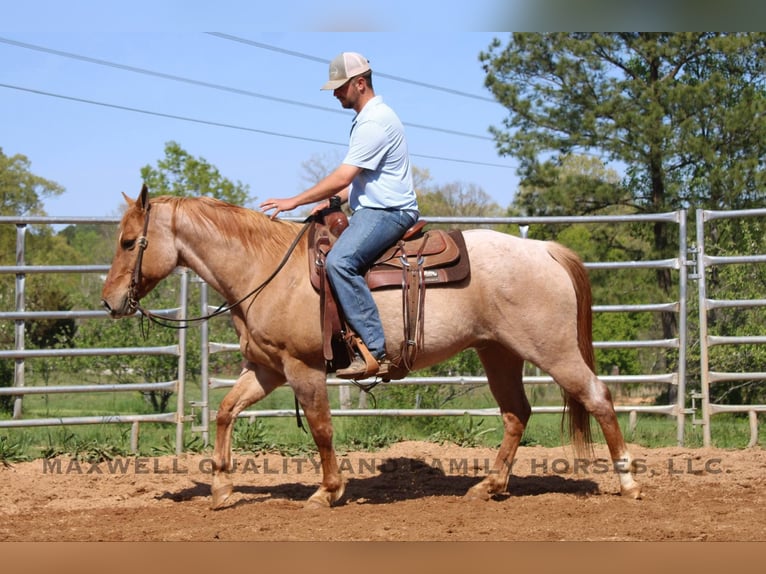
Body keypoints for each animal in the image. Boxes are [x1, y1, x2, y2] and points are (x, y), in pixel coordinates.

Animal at [101, 185, 643, 508]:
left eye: (129, 242)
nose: (109, 302)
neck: (266, 268)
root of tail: (545, 250)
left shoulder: (303, 369)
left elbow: (321, 428)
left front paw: (328, 491)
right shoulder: (267, 369)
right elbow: (225, 412)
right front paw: (220, 489)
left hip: (552, 350)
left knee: (598, 397)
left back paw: (629, 483)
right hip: (498, 352)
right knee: (517, 413)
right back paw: (488, 487)